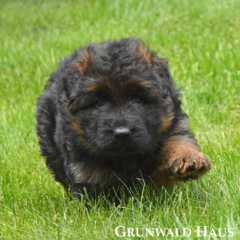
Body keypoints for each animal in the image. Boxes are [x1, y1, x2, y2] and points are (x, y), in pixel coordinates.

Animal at [36, 38, 212, 199]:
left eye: (138, 99)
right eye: (99, 102)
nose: (122, 133)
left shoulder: (173, 124)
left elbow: (178, 141)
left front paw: (189, 160)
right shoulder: (81, 162)